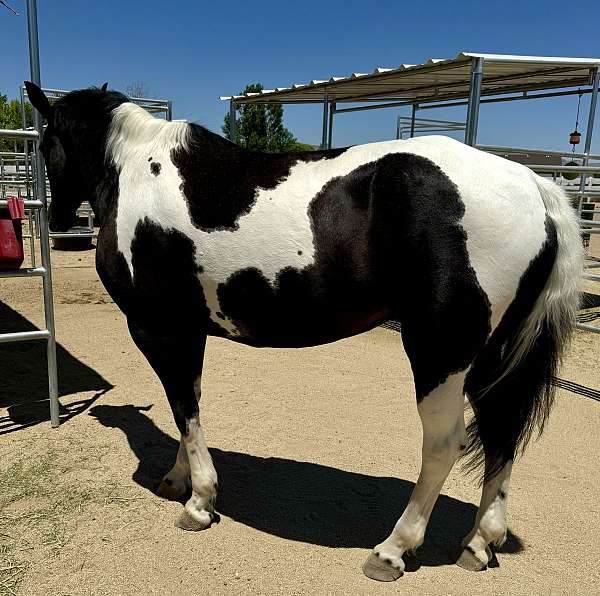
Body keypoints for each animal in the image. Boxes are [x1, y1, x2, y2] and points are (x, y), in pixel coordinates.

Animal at [25, 81, 584, 580]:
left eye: (44, 142)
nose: (58, 217)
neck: (136, 172)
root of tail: (534, 186)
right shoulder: (187, 330)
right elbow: (189, 401)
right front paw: (179, 479)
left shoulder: (155, 327)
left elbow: (183, 405)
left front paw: (200, 500)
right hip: (494, 355)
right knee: (502, 434)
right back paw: (479, 542)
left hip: (440, 353)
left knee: (446, 444)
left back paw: (393, 550)